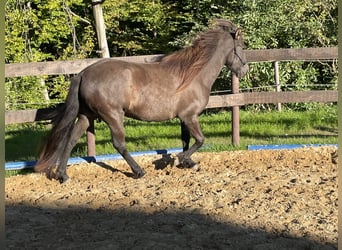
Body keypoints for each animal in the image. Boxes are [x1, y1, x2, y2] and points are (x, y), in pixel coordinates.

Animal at [34, 19, 248, 184]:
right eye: (243, 47)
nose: (244, 71)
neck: (194, 75)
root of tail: (84, 73)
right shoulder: (190, 116)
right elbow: (200, 140)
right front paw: (181, 160)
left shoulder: (184, 118)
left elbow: (187, 141)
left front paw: (188, 163)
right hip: (112, 115)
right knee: (119, 144)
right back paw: (139, 171)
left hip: (87, 115)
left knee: (70, 140)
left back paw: (63, 176)